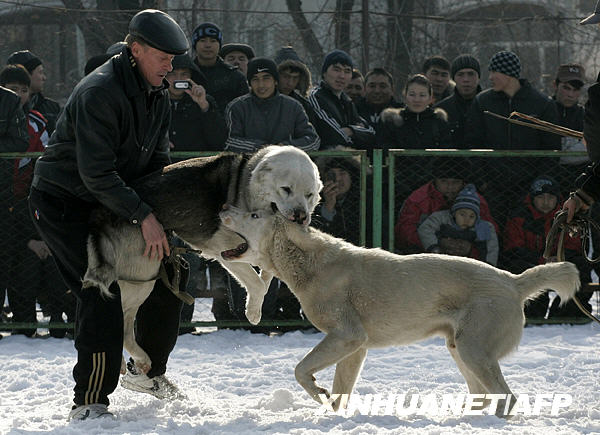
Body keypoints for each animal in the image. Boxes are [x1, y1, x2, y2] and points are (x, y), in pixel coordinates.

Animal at [219, 209, 580, 418]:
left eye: (254, 215)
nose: (221, 211)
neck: (309, 265)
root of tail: (513, 281)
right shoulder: (354, 347)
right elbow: (340, 391)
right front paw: (334, 416)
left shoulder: (346, 337)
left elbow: (301, 371)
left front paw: (318, 393)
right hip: (460, 349)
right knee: (483, 395)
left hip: (473, 350)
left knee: (506, 397)